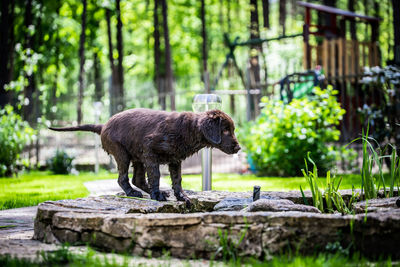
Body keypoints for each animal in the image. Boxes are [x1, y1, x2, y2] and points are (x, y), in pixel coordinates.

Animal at [48, 109, 239, 207]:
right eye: (225, 130)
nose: (239, 148)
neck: (189, 129)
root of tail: (103, 125)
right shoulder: (150, 151)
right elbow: (156, 175)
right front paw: (157, 195)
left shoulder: (175, 159)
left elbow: (177, 180)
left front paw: (182, 197)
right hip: (123, 154)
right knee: (123, 178)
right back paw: (133, 193)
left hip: (137, 157)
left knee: (137, 179)